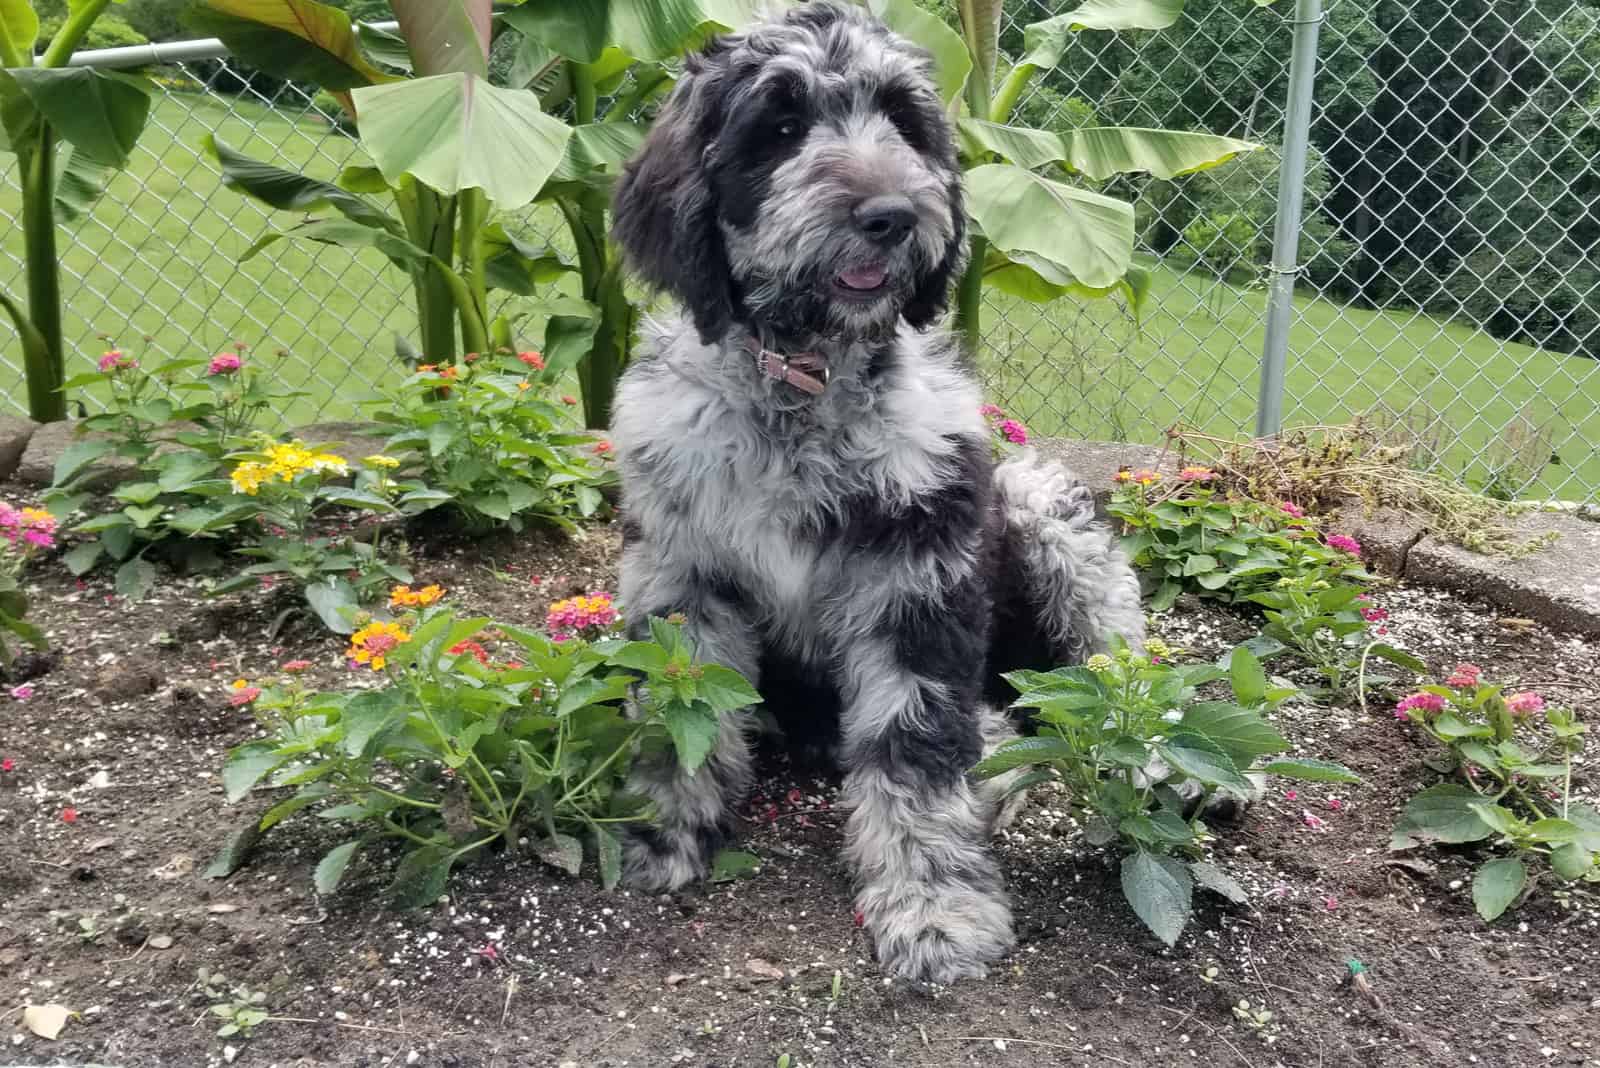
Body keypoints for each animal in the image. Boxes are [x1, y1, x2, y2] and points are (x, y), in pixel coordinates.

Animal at [604, 2, 1145, 984]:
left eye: (903, 121)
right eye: (780, 128)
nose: (891, 215)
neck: (804, 384)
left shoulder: (917, 571)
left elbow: (914, 743)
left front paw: (934, 908)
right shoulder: (680, 570)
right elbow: (680, 713)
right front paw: (660, 835)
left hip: (1042, 514)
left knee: (1124, 689)